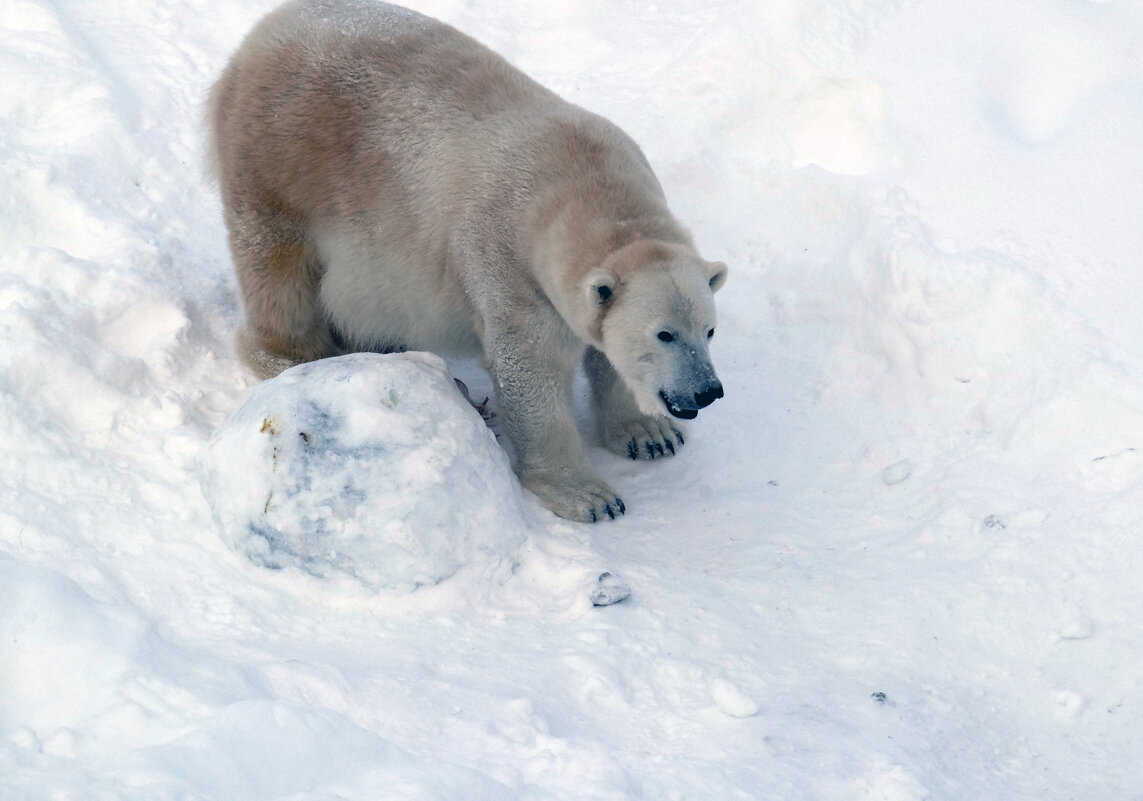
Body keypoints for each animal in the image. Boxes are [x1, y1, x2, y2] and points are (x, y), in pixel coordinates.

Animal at [209, 0, 726, 521]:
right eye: (664, 334)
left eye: (708, 330)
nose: (706, 391)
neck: (585, 182)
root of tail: (263, 31)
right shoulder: (506, 263)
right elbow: (531, 369)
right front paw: (589, 496)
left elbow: (607, 359)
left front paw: (651, 435)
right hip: (280, 160)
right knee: (278, 273)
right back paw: (301, 356)